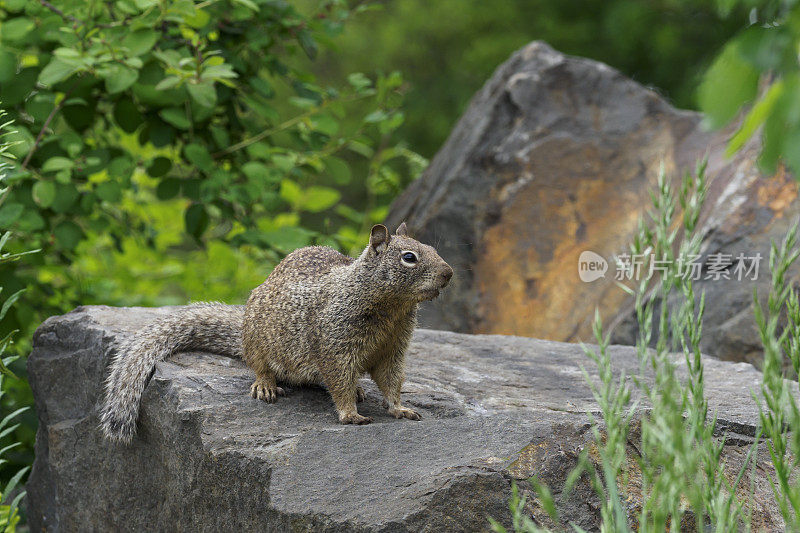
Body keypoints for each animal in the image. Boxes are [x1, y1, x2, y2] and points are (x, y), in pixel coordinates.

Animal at [97, 222, 454, 442]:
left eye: (431, 247)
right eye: (409, 257)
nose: (449, 273)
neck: (392, 310)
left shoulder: (394, 348)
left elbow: (392, 381)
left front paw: (400, 409)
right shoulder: (335, 343)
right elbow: (338, 380)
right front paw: (350, 414)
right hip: (257, 343)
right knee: (259, 366)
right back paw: (266, 386)